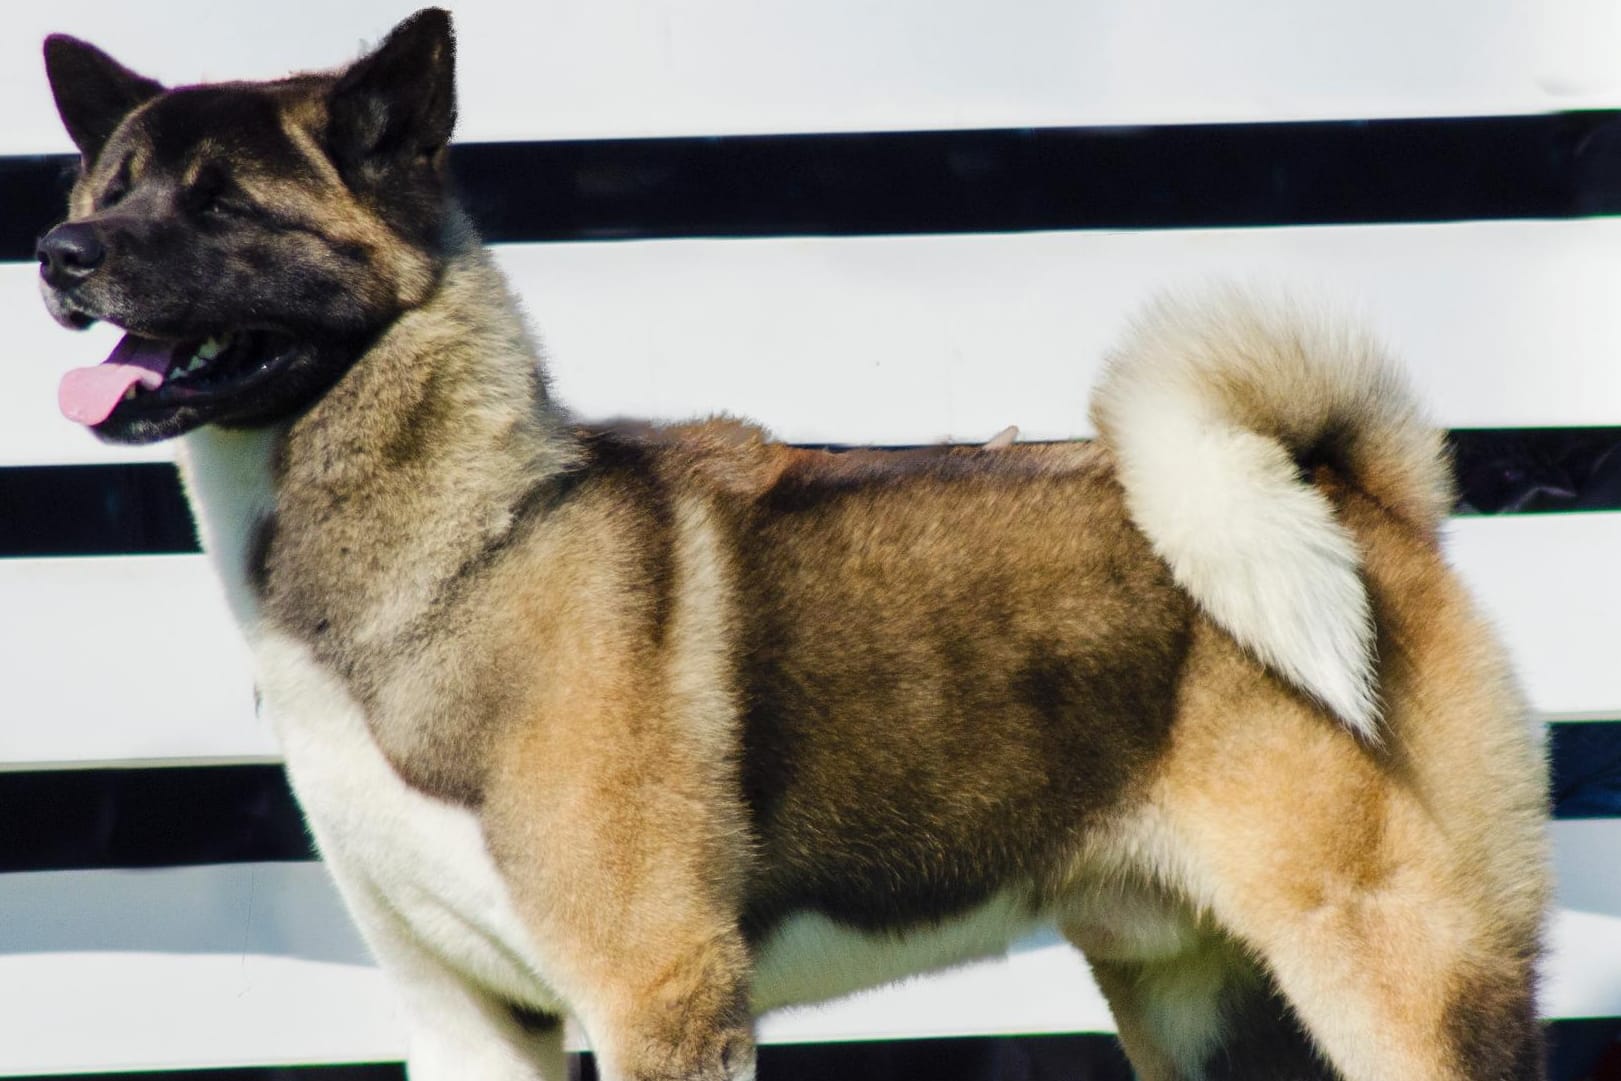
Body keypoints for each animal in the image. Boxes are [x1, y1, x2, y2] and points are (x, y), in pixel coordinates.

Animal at [38, 10, 1549, 1081]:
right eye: (109, 186)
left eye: (224, 205)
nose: (58, 252)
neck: (473, 540)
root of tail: (1359, 497)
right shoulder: (467, 1020)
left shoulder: (662, 998)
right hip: (1209, 1000)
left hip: (1399, 980)